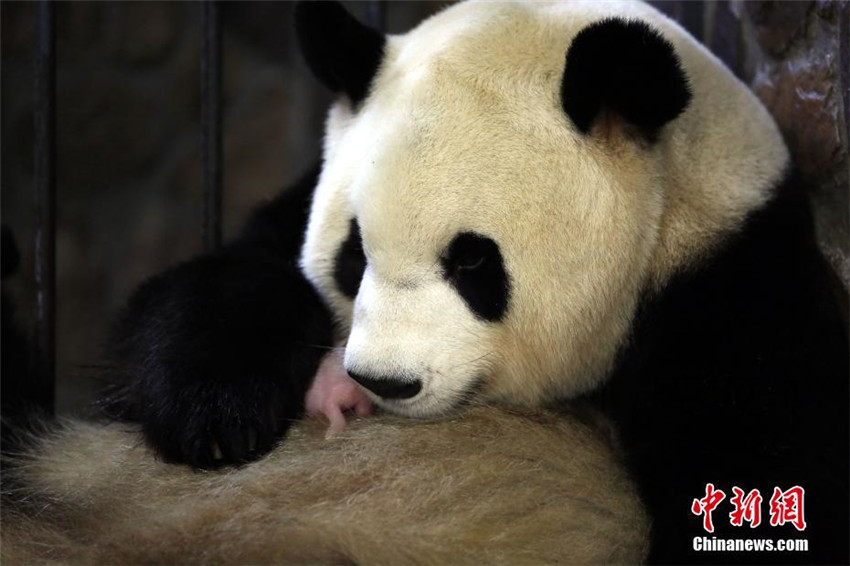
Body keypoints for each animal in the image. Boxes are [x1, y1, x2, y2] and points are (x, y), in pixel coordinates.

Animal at [3, 1, 848, 564]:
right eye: (353, 256)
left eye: (473, 262)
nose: (382, 382)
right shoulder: (294, 203)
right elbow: (218, 285)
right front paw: (214, 413)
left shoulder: (732, 292)